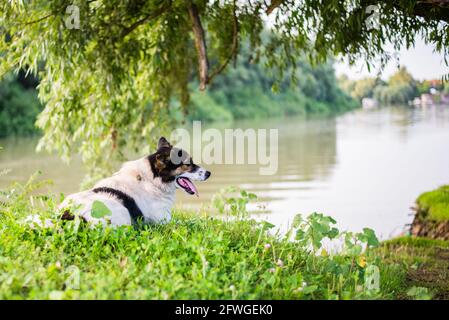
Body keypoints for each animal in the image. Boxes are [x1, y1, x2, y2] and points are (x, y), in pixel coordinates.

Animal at [58, 137, 211, 225]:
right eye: (188, 164)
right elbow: (190, 223)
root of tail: (70, 214)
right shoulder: (164, 220)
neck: (151, 180)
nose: (209, 173)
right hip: (122, 211)